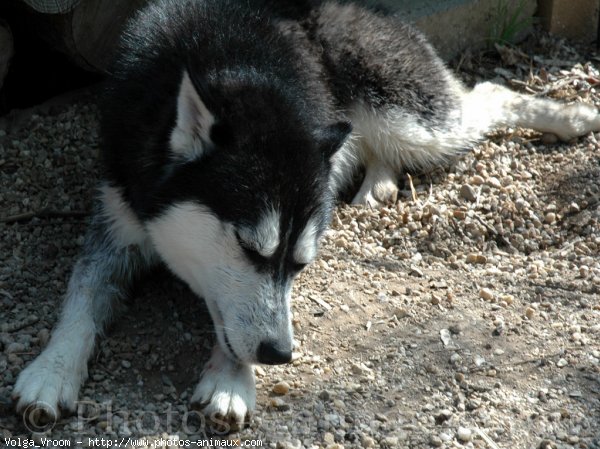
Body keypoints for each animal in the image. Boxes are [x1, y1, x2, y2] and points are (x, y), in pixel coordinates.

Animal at [11, 0, 596, 428]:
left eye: (300, 265)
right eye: (250, 247)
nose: (278, 355)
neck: (236, 68)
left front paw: (231, 379)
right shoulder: (118, 215)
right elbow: (80, 298)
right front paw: (53, 369)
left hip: (407, 115)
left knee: (487, 94)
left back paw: (568, 116)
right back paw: (378, 182)